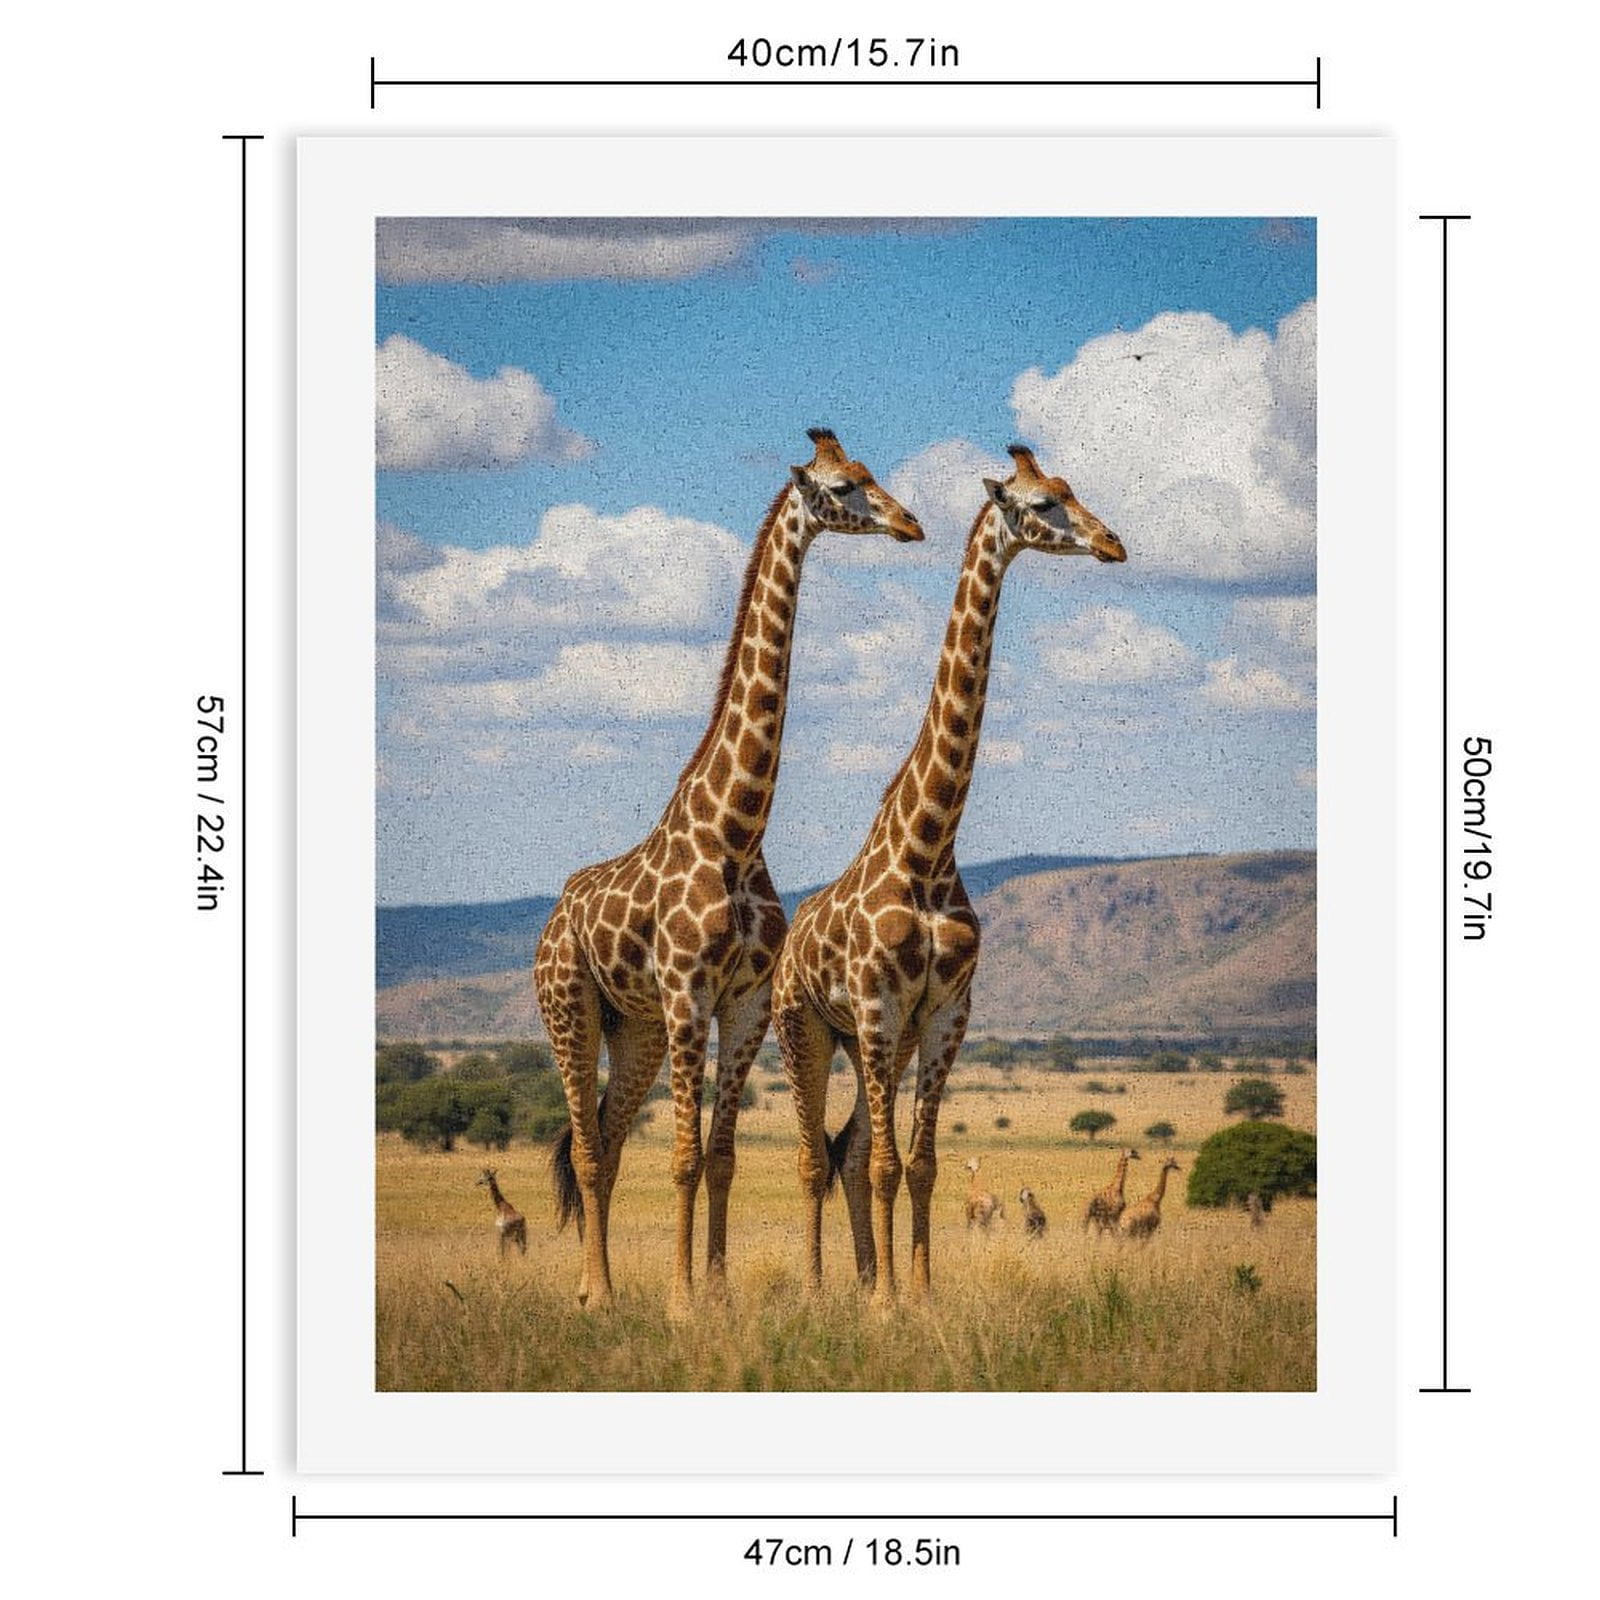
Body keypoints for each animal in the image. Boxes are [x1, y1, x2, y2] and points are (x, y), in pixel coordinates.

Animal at [537, 429, 923, 1313]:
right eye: (845, 487)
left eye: (873, 474)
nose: (911, 523)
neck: (738, 831)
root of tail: (551, 919)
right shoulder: (688, 991)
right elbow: (681, 1157)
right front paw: (682, 1300)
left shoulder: (741, 1002)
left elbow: (720, 1156)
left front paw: (714, 1291)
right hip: (569, 1008)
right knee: (586, 1147)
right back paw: (596, 1294)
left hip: (635, 1027)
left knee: (608, 1140)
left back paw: (598, 1287)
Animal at [774, 444, 1126, 1302]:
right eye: (1042, 502)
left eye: (1071, 489)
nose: (1113, 543)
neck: (929, 848)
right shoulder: (876, 1005)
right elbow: (888, 1163)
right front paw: (888, 1304)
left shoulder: (943, 1014)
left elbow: (921, 1164)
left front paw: (918, 1293)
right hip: (804, 1027)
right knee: (812, 1155)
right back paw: (821, 1287)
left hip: (874, 1040)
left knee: (846, 1147)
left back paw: (865, 1278)